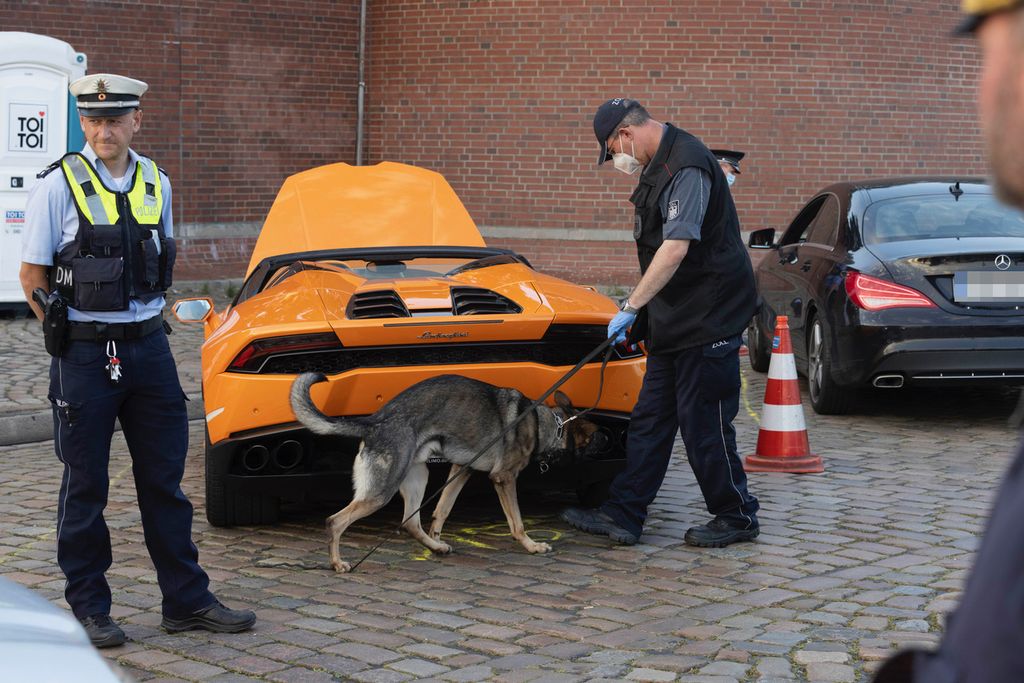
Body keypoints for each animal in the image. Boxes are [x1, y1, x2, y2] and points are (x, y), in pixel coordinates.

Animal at [288, 374, 598, 573]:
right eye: (596, 439)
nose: (606, 440)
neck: (545, 423)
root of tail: (375, 421)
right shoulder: (504, 478)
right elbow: (517, 522)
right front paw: (532, 546)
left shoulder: (461, 470)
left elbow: (441, 511)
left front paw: (436, 538)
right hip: (381, 492)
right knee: (335, 521)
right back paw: (337, 564)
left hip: (418, 477)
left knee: (411, 523)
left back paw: (436, 548)